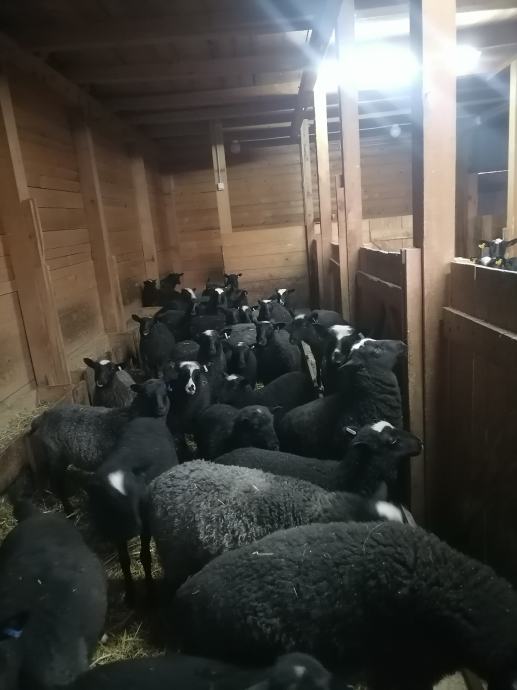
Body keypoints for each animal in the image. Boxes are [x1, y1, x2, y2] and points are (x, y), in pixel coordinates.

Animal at [30, 379, 170, 514]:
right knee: (57, 484)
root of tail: (43, 417)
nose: (161, 409)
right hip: (55, 457)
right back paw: (69, 510)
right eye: (145, 394)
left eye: (166, 393)